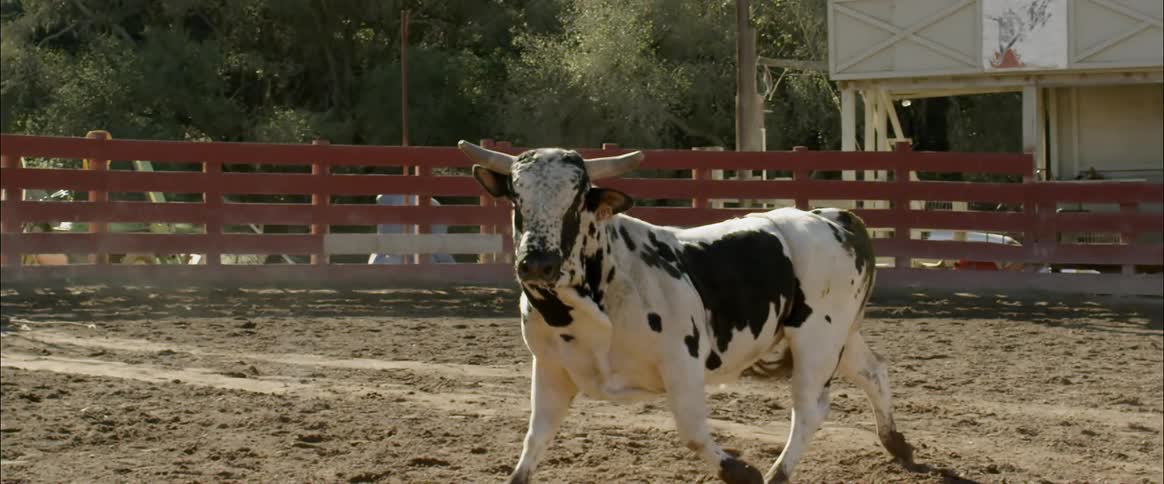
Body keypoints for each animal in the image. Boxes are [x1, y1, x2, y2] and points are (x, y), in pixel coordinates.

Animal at [458, 140, 913, 484]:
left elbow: (693, 432)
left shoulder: (682, 364)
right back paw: (896, 442)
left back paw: (779, 473)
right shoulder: (550, 368)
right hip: (841, 338)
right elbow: (535, 439)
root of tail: (831, 217)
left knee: (809, 409)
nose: (537, 263)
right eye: (517, 198)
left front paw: (742, 471)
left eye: (577, 200)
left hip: (817, 341)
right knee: (873, 370)